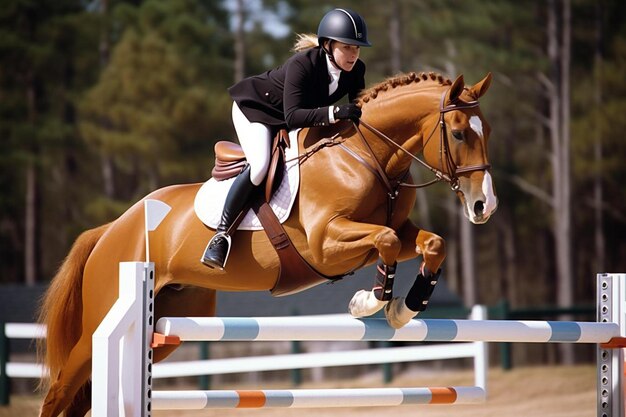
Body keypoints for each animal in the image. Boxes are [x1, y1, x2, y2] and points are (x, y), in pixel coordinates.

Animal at [36, 71, 494, 416]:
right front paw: (369, 301)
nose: (483, 205)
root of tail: (112, 228)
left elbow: (431, 244)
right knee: (59, 392)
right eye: (457, 133)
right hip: (97, 323)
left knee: (80, 398)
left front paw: (405, 307)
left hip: (168, 319)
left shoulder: (398, 232)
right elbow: (383, 240)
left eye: (485, 130)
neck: (366, 156)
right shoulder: (327, 242)